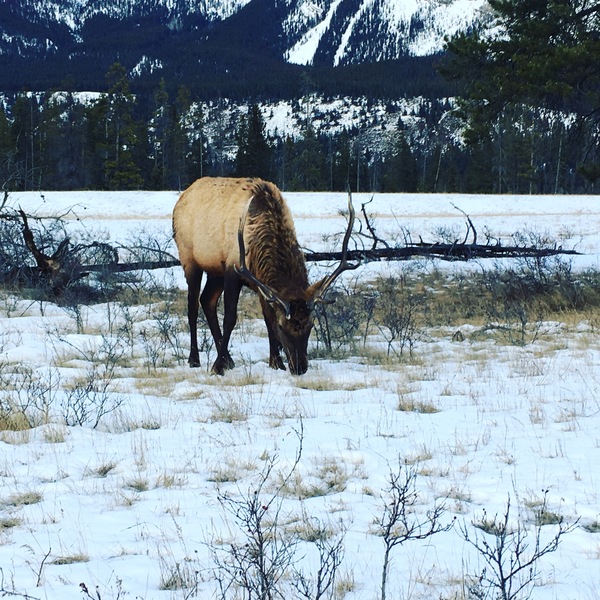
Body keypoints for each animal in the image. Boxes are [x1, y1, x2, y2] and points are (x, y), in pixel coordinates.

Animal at [172, 177, 356, 376]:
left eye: (311, 326)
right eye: (283, 328)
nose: (299, 367)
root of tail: (181, 199)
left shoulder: (262, 283)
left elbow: (268, 317)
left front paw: (276, 362)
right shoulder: (233, 269)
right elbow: (230, 317)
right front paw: (217, 367)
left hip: (215, 272)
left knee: (207, 300)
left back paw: (229, 359)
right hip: (189, 259)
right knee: (193, 306)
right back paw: (195, 359)